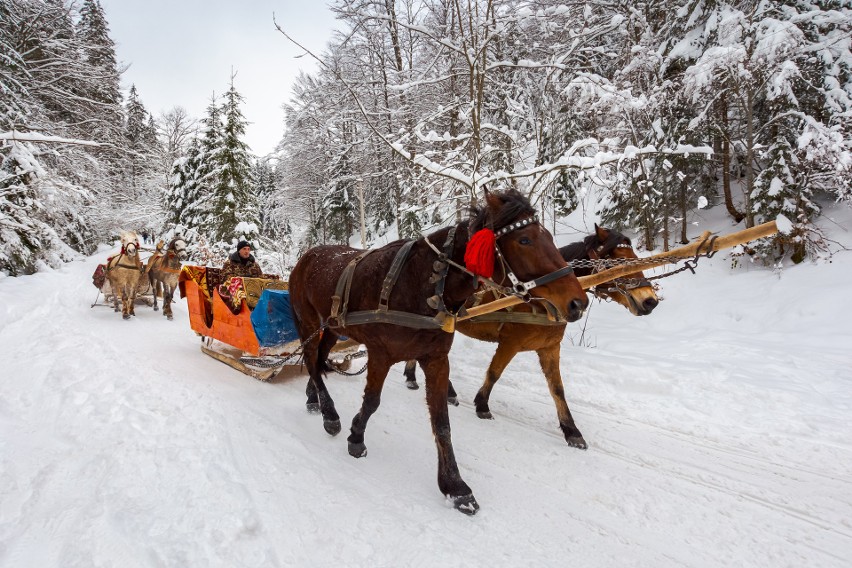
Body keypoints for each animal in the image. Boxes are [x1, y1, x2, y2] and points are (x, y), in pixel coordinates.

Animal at [290, 189, 588, 512]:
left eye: (547, 235)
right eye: (524, 240)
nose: (578, 302)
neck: (420, 285)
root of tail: (307, 256)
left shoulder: (436, 359)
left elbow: (442, 422)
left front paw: (455, 486)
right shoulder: (381, 354)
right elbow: (371, 402)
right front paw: (356, 437)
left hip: (333, 326)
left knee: (318, 359)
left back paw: (314, 399)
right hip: (308, 321)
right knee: (311, 360)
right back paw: (329, 415)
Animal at [402, 224, 660, 450]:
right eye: (619, 262)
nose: (650, 300)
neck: (545, 301)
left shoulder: (550, 347)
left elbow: (557, 388)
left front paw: (572, 431)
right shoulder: (510, 342)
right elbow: (494, 373)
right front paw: (482, 405)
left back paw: (419, 379)